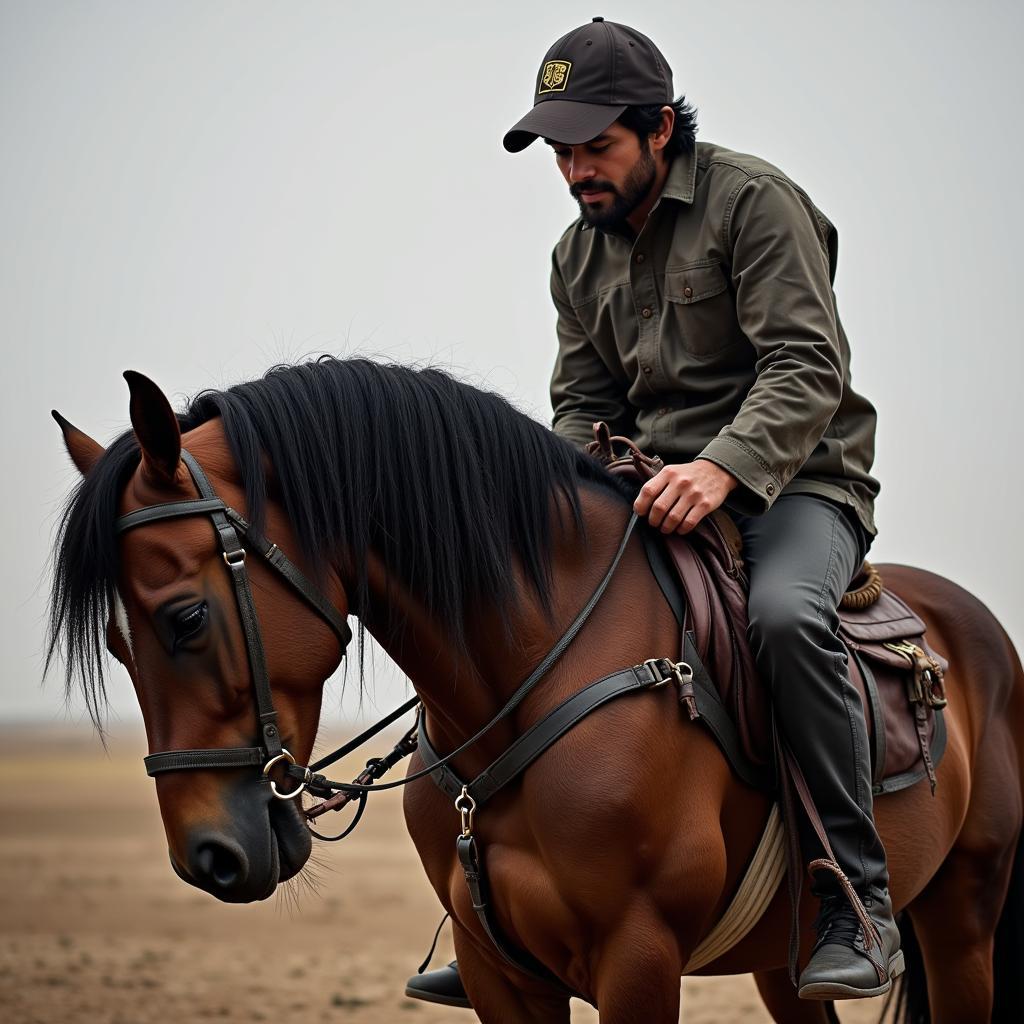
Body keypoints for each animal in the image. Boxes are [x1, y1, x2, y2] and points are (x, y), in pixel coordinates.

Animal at [48, 356, 1024, 1019]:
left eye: (184, 618)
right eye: (116, 642)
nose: (208, 857)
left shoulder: (638, 959)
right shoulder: (498, 972)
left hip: (961, 922)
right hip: (781, 965)